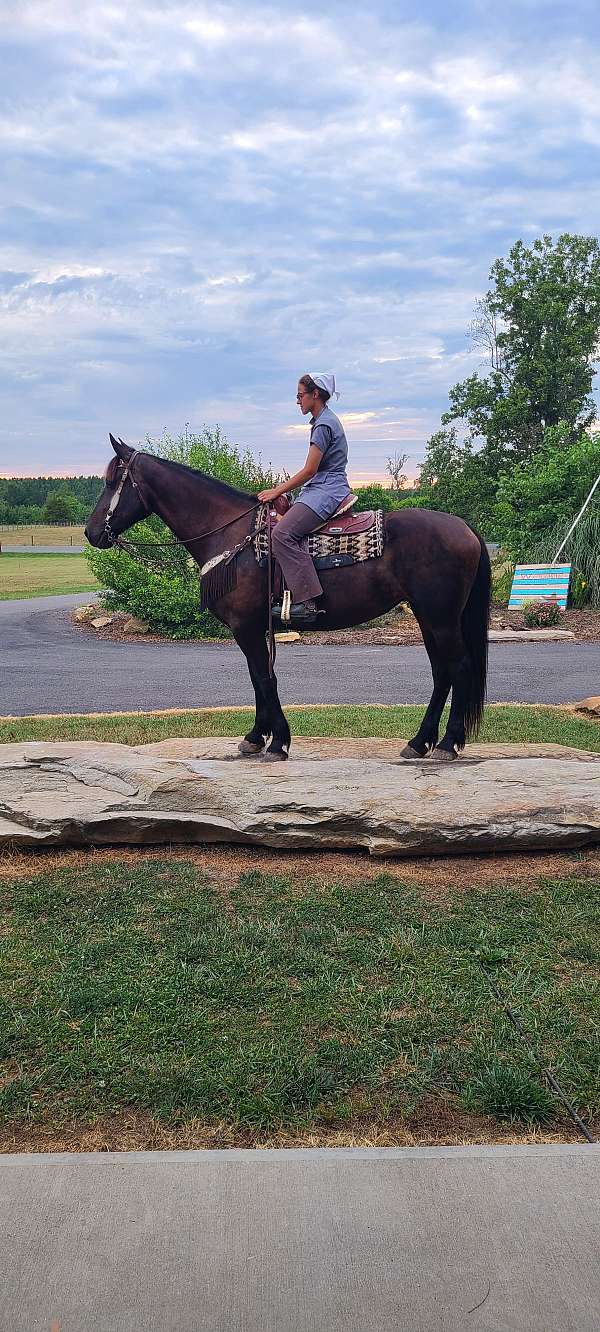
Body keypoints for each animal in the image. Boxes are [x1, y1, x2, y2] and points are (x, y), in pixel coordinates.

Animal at [84, 436, 490, 767]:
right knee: (442, 672)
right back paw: (419, 742)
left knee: (459, 667)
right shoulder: (252, 629)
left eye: (111, 481)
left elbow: (265, 678)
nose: (91, 532)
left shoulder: (246, 626)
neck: (231, 534)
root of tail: (465, 527)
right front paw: (255, 738)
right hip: (430, 617)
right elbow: (257, 676)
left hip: (440, 617)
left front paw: (277, 742)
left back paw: (447, 744)